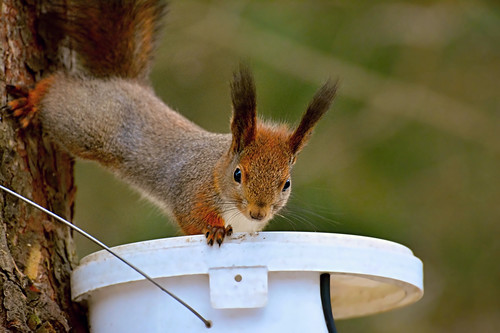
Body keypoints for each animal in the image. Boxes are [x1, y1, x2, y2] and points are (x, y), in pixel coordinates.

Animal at [2, 0, 336, 244]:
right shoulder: (192, 192)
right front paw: (214, 229)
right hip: (85, 124)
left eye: (286, 183)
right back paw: (33, 100)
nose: (258, 213)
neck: (215, 170)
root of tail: (125, 83)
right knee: (57, 92)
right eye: (238, 174)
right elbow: (191, 219)